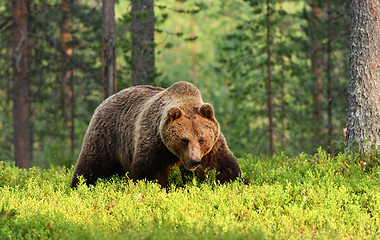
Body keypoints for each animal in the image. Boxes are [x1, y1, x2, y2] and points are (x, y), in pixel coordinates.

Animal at [71, 81, 240, 187]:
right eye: (184, 140)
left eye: (202, 140)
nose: (195, 161)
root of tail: (106, 100)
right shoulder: (155, 143)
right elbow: (149, 173)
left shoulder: (213, 148)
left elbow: (225, 168)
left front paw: (235, 183)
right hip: (107, 137)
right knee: (92, 167)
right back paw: (79, 186)